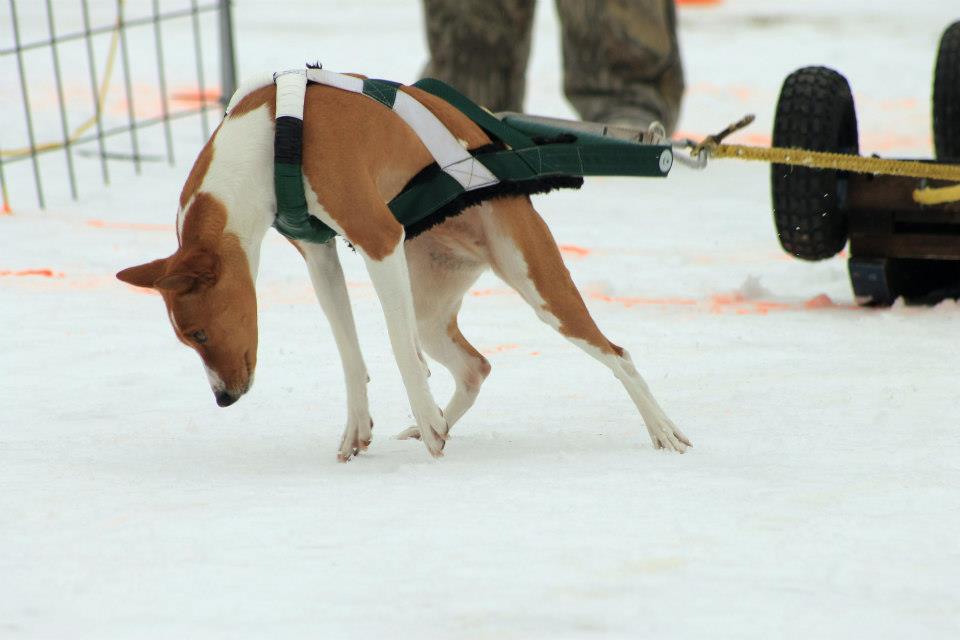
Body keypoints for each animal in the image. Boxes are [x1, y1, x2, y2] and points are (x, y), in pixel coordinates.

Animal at [116, 74, 688, 460]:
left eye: (199, 333)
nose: (223, 400)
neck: (267, 140)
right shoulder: (321, 256)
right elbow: (350, 353)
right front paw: (363, 426)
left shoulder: (379, 240)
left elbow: (395, 346)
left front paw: (424, 415)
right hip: (432, 311)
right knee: (475, 367)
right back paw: (434, 421)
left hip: (539, 285)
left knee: (618, 355)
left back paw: (662, 429)